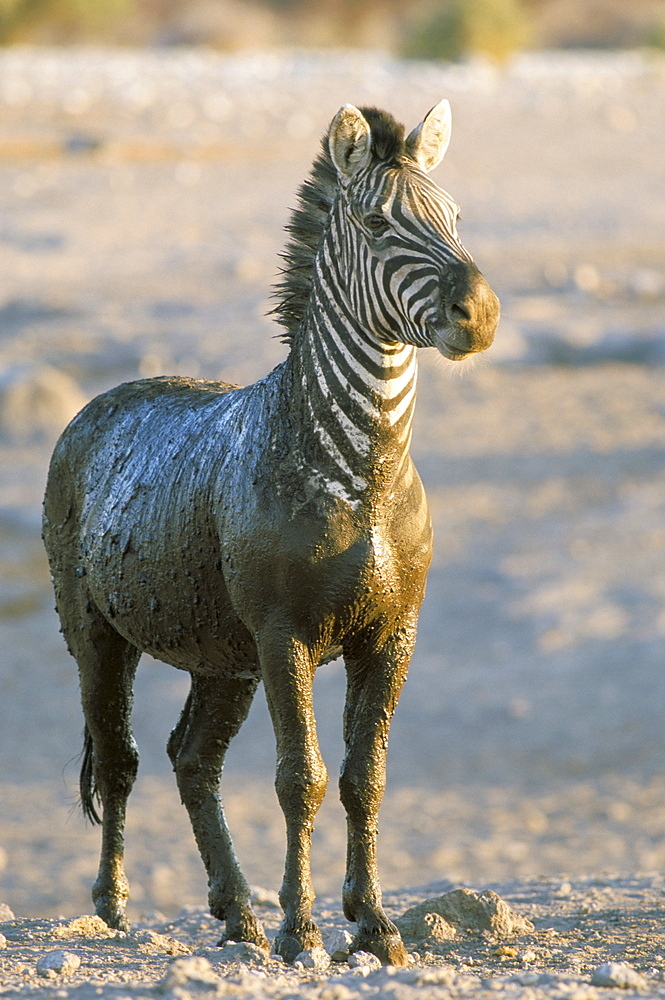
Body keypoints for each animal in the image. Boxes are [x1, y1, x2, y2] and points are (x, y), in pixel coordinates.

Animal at [41, 97, 498, 964]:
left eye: (456, 217)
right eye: (376, 223)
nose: (481, 315)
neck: (367, 474)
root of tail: (105, 400)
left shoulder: (392, 632)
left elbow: (363, 777)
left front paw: (374, 924)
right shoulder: (286, 633)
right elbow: (301, 779)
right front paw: (301, 929)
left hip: (222, 653)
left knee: (191, 760)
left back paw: (236, 915)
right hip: (95, 631)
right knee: (119, 759)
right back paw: (115, 908)